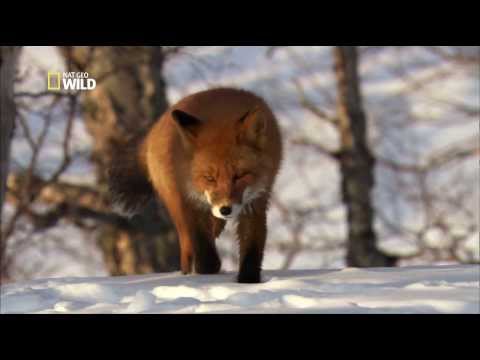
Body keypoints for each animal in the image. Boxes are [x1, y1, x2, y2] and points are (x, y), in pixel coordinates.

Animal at [107, 88, 284, 284]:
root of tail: (156, 126)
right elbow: (204, 251)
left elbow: (252, 247)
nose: (225, 209)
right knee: (187, 246)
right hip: (177, 204)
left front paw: (248, 281)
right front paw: (204, 273)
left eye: (239, 176)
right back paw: (187, 272)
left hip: (217, 218)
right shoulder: (191, 200)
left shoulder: (256, 200)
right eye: (210, 178)